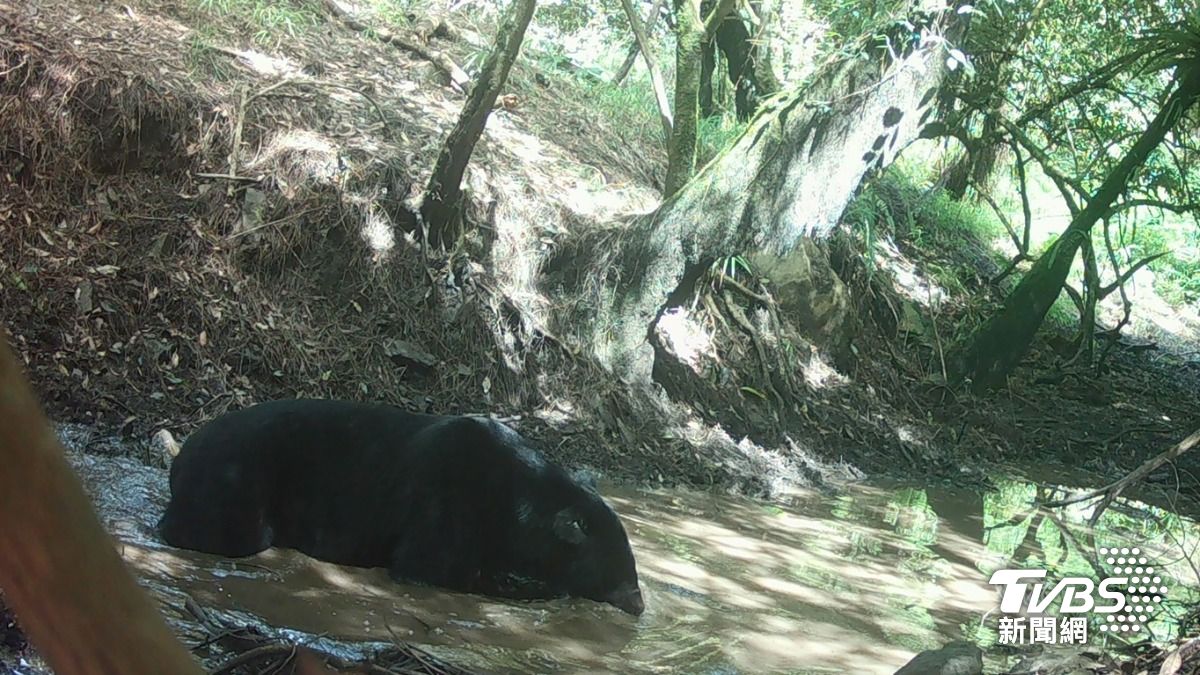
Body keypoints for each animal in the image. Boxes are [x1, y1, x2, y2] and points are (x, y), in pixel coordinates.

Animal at [158, 399, 644, 615]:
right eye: (616, 562)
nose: (639, 603)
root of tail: (181, 456)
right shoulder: (444, 513)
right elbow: (438, 570)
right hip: (238, 485)